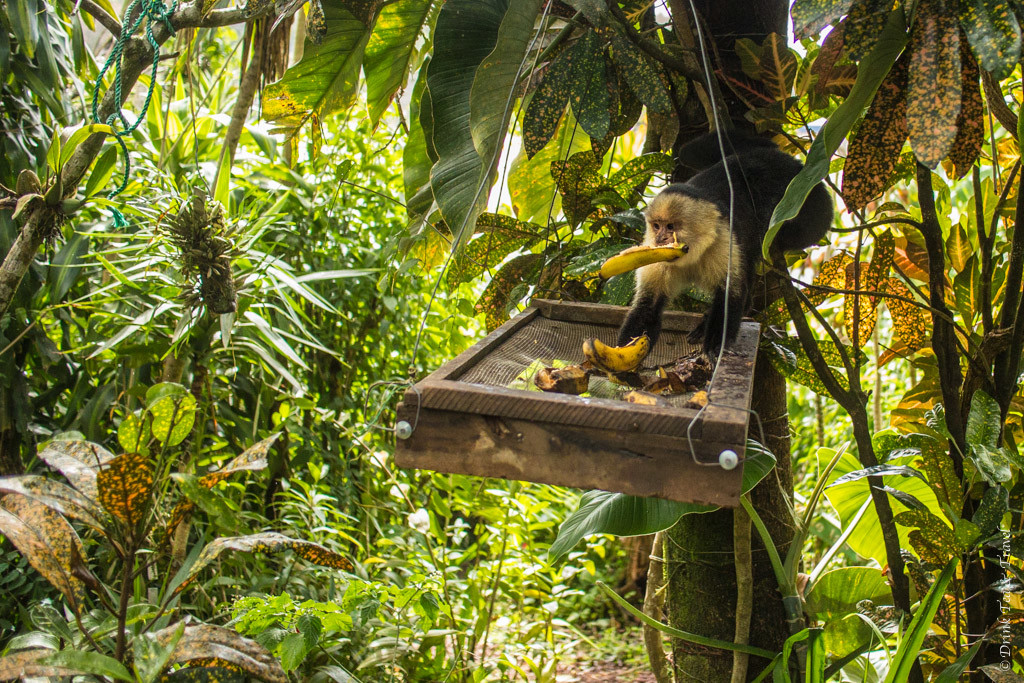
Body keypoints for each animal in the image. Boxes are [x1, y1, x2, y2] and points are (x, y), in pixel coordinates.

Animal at [614, 132, 831, 358]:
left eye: (671, 227)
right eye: (656, 226)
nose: (660, 240)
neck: (692, 254)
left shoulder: (723, 241)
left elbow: (730, 296)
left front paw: (715, 346)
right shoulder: (654, 254)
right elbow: (648, 307)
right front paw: (620, 357)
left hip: (799, 194)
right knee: (690, 151)